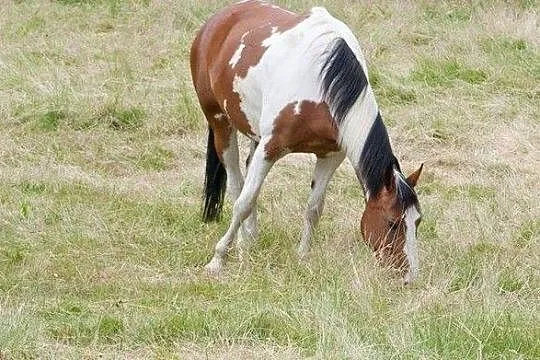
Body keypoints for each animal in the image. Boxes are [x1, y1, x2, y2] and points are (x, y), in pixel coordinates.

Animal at [190, 0, 422, 284]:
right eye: (392, 222)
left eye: (417, 221)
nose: (409, 277)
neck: (323, 82)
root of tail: (217, 21)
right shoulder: (270, 148)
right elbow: (242, 203)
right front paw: (217, 259)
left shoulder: (330, 156)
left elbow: (313, 208)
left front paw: (302, 256)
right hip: (219, 121)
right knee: (236, 184)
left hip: (254, 133)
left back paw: (250, 240)